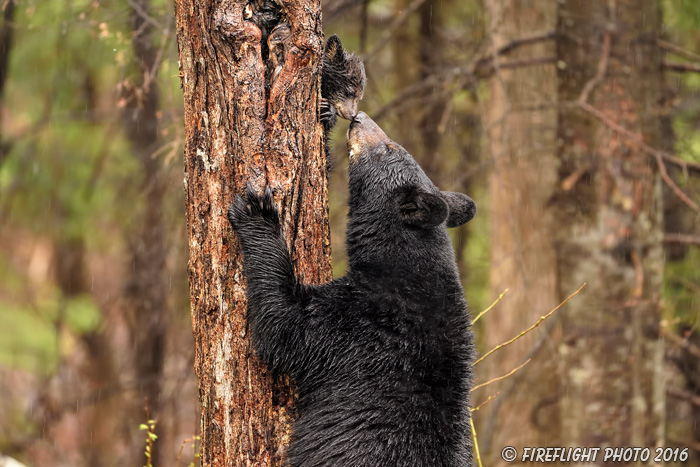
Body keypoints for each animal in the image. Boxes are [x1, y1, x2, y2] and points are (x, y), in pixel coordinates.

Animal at [230, 111, 476, 466]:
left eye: (388, 147)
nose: (359, 117)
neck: (403, 261)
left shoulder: (363, 323)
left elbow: (286, 325)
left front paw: (258, 212)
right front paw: (325, 116)